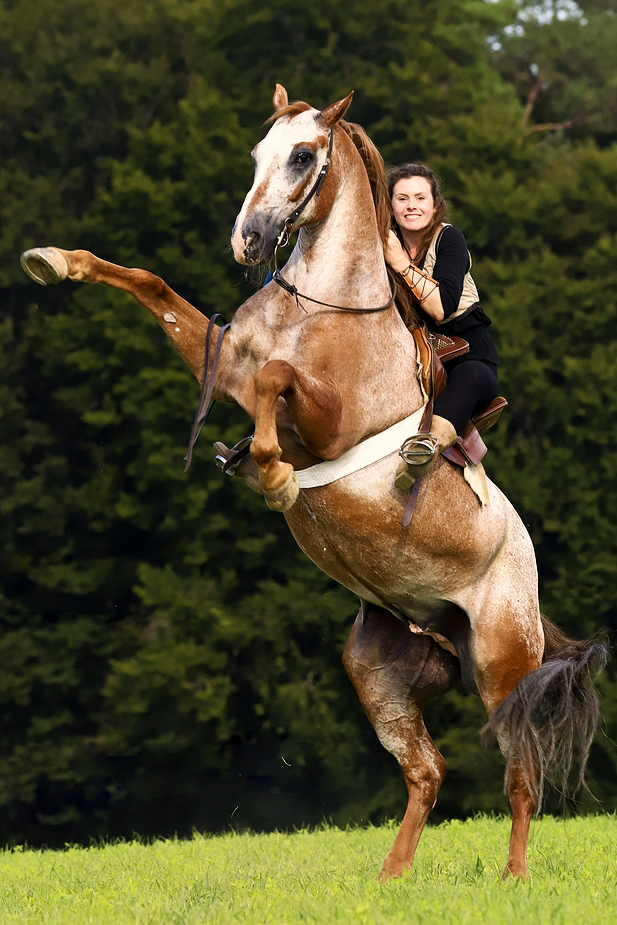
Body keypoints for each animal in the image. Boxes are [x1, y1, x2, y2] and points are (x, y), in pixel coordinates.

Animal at [21, 85, 604, 880]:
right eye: (257, 152)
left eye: (303, 155)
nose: (249, 240)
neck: (321, 308)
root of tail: (532, 595)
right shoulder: (222, 367)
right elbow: (156, 289)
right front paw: (54, 260)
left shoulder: (321, 415)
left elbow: (279, 378)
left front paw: (271, 473)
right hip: (377, 667)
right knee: (426, 770)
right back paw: (390, 879)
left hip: (502, 661)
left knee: (520, 772)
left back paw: (513, 878)